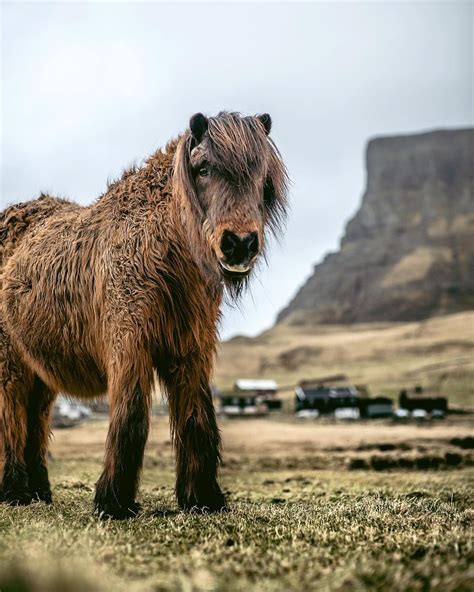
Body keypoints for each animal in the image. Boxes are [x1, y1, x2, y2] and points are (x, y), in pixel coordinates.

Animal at [0, 111, 288, 520]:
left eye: (263, 177)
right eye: (203, 167)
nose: (240, 244)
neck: (160, 250)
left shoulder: (190, 349)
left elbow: (197, 416)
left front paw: (203, 498)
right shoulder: (129, 343)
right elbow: (132, 415)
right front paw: (114, 501)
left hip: (40, 367)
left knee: (35, 419)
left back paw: (39, 490)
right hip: (11, 362)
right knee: (12, 415)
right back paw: (15, 491)